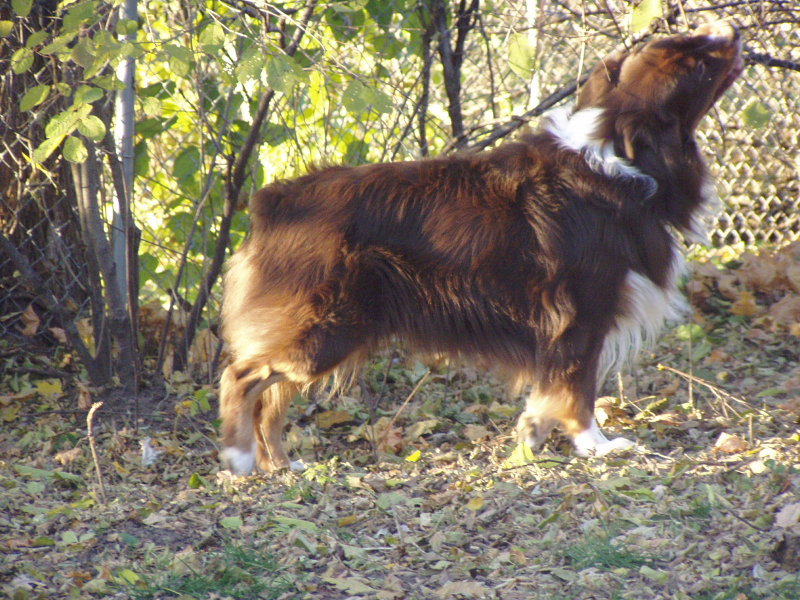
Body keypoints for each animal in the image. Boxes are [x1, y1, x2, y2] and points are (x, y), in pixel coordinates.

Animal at [217, 22, 744, 474]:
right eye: (697, 66)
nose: (733, 30)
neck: (621, 156)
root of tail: (272, 201)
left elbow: (552, 393)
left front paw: (532, 433)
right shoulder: (581, 315)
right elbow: (578, 390)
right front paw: (594, 445)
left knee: (271, 399)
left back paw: (279, 464)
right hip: (327, 325)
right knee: (242, 376)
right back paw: (240, 459)